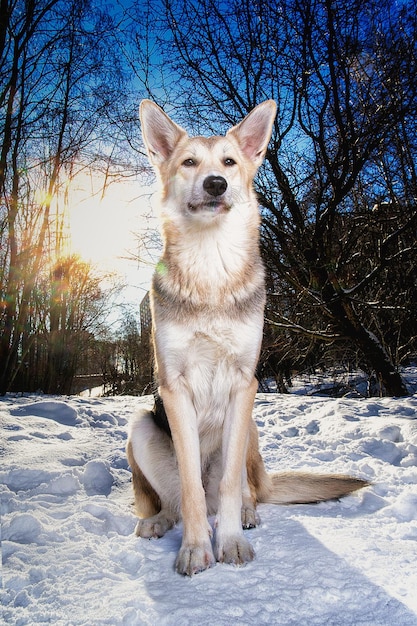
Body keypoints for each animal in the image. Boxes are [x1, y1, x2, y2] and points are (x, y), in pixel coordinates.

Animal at [126, 100, 368, 572]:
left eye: (229, 162)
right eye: (189, 162)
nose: (215, 184)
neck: (210, 269)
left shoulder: (244, 384)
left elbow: (226, 487)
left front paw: (231, 541)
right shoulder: (174, 388)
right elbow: (191, 489)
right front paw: (196, 548)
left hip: (248, 427)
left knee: (243, 489)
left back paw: (247, 513)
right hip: (141, 426)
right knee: (177, 500)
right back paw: (161, 520)